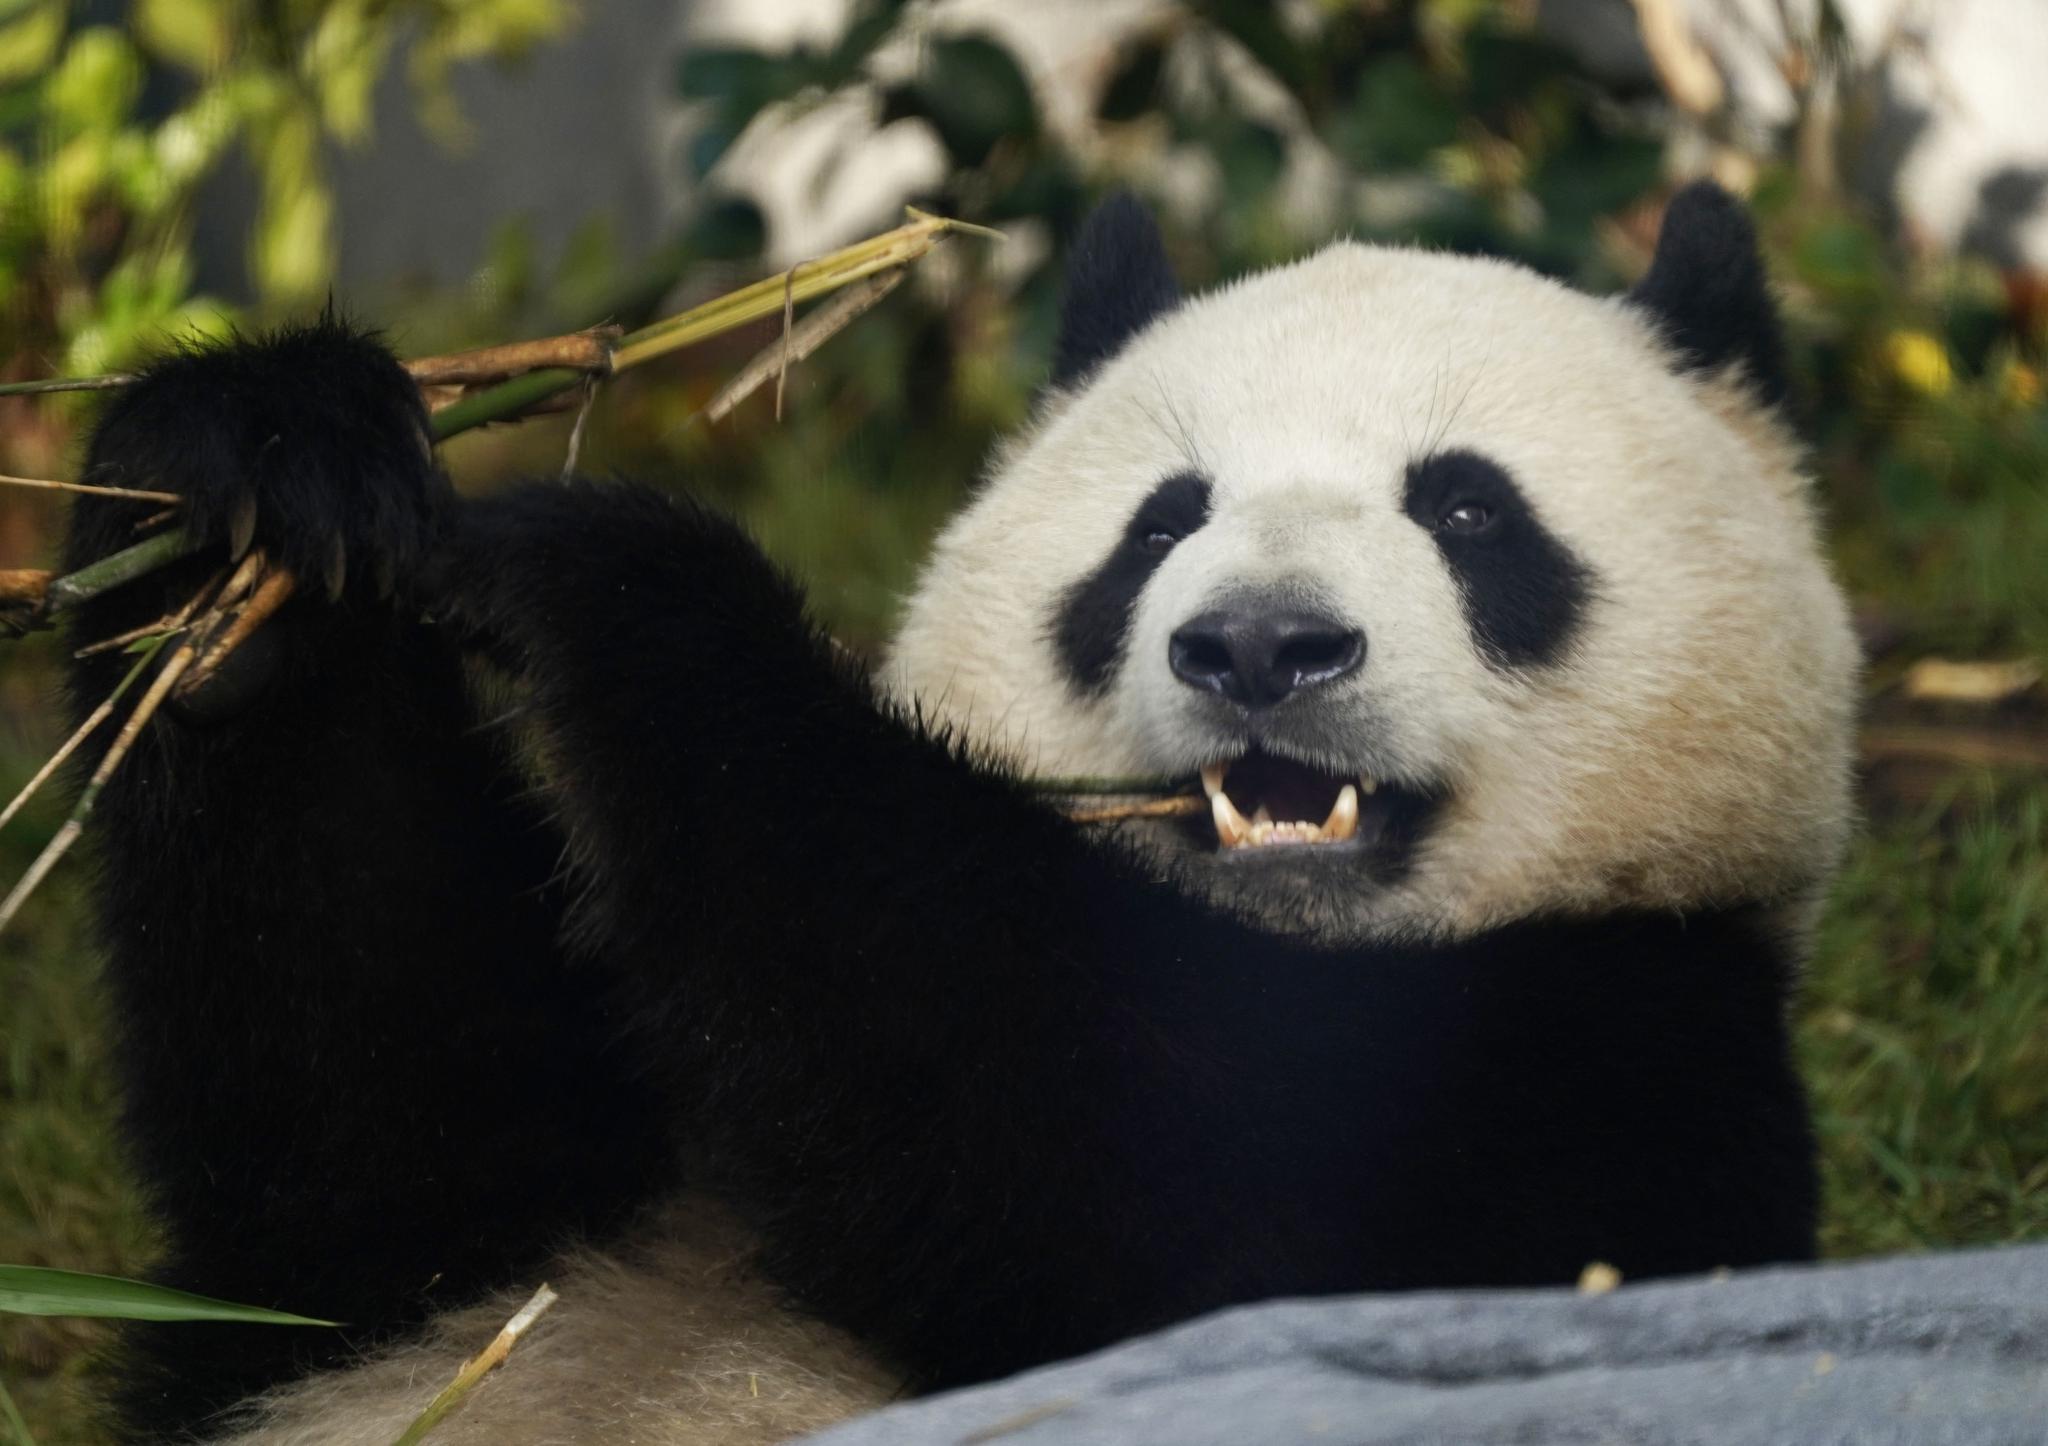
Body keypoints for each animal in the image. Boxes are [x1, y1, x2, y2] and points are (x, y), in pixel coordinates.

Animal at [64, 183, 1859, 1441]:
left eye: (1471, 511)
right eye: (1161, 524)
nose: (1259, 647)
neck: (1279, 953)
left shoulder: (1615, 1070)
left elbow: (1140, 1189)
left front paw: (617, 577)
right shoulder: (572, 1198)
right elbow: (381, 1145)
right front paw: (244, 509)